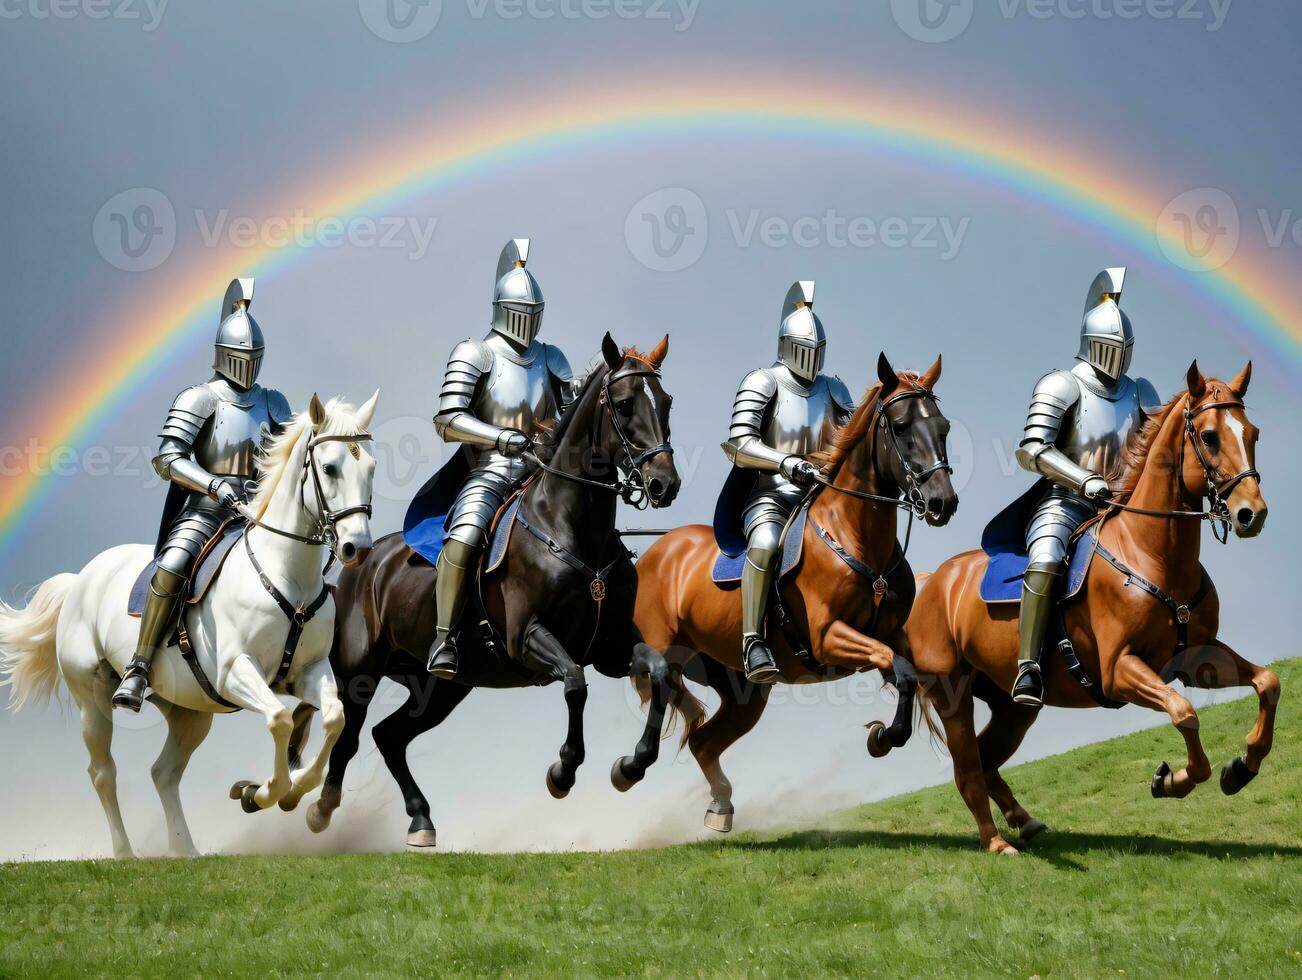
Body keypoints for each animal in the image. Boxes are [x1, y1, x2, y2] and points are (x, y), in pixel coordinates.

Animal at [0, 393, 377, 853]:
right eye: (330, 467)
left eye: (371, 467)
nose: (356, 547)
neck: (287, 575)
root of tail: (80, 581)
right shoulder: (234, 673)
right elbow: (280, 720)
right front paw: (263, 793)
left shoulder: (307, 672)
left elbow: (334, 718)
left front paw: (287, 791)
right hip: (93, 698)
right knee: (103, 773)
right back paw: (126, 853)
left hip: (189, 711)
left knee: (164, 773)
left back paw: (185, 850)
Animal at [296, 333, 682, 843]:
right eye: (623, 404)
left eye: (666, 401)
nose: (664, 484)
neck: (573, 530)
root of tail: (360, 564)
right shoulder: (527, 638)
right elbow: (574, 685)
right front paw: (562, 772)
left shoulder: (611, 647)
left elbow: (658, 672)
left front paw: (631, 766)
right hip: (359, 673)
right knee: (349, 735)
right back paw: (322, 810)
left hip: (439, 688)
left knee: (388, 736)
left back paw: (421, 820)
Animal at [635, 351, 963, 827]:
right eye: (901, 427)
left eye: (944, 427)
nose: (942, 502)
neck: (852, 536)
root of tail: (655, 551)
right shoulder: (829, 637)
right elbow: (897, 670)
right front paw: (883, 736)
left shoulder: (891, 636)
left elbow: (905, 672)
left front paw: (886, 735)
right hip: (663, 647)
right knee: (659, 687)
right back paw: (629, 766)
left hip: (744, 693)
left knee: (702, 740)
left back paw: (719, 805)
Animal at [906, 359, 1281, 848]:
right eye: (1210, 436)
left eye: (1252, 433)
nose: (1251, 514)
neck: (1151, 554)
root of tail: (933, 581)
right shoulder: (1119, 671)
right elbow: (1185, 715)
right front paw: (1170, 780)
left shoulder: (1195, 658)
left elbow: (1268, 683)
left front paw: (1240, 768)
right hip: (952, 693)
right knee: (967, 767)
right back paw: (997, 842)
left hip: (1013, 707)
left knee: (986, 760)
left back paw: (1025, 820)